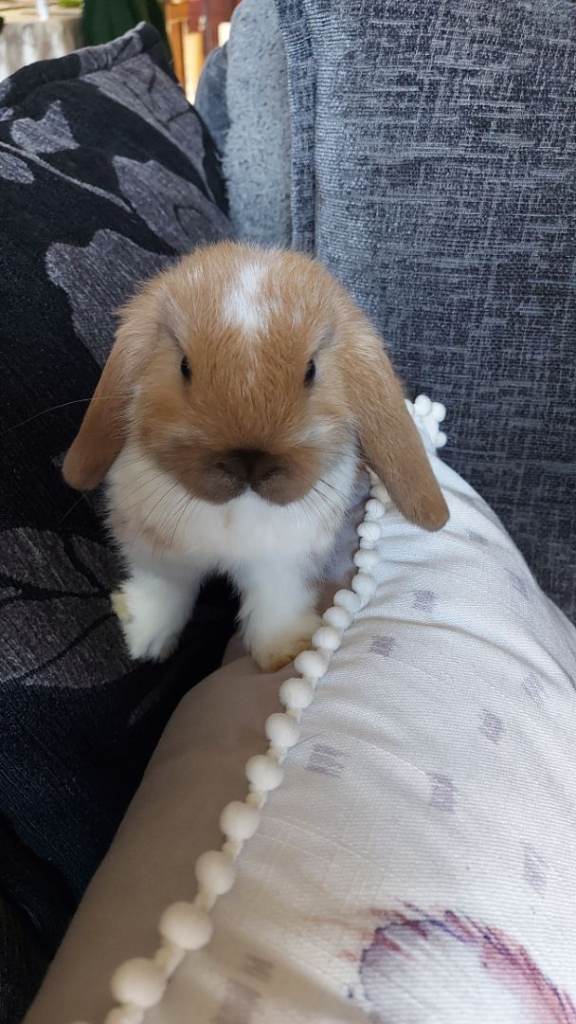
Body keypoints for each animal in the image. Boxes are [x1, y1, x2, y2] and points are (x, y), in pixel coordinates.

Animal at [63, 242, 449, 672]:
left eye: (311, 369)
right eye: (184, 366)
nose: (248, 461)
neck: (235, 513)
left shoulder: (284, 564)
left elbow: (275, 600)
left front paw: (285, 652)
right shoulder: (157, 551)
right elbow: (164, 588)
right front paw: (144, 638)